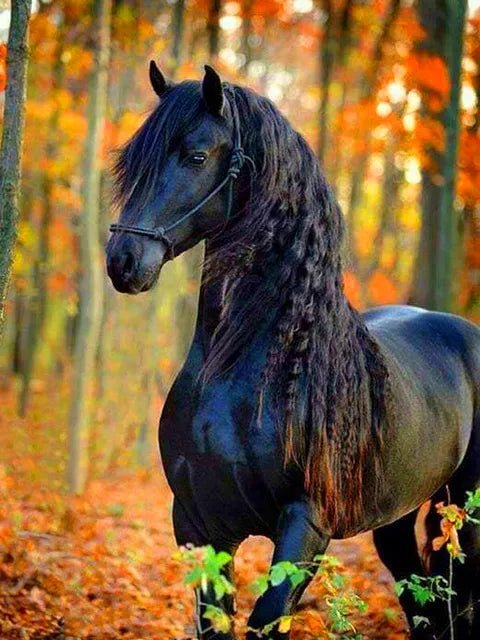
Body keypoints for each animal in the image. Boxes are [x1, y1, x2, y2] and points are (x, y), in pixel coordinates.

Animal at [106, 63, 480, 640]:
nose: (123, 260)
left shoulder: (305, 525)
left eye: (196, 156)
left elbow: (266, 619)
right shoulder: (197, 524)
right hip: (396, 517)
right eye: (132, 160)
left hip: (463, 505)